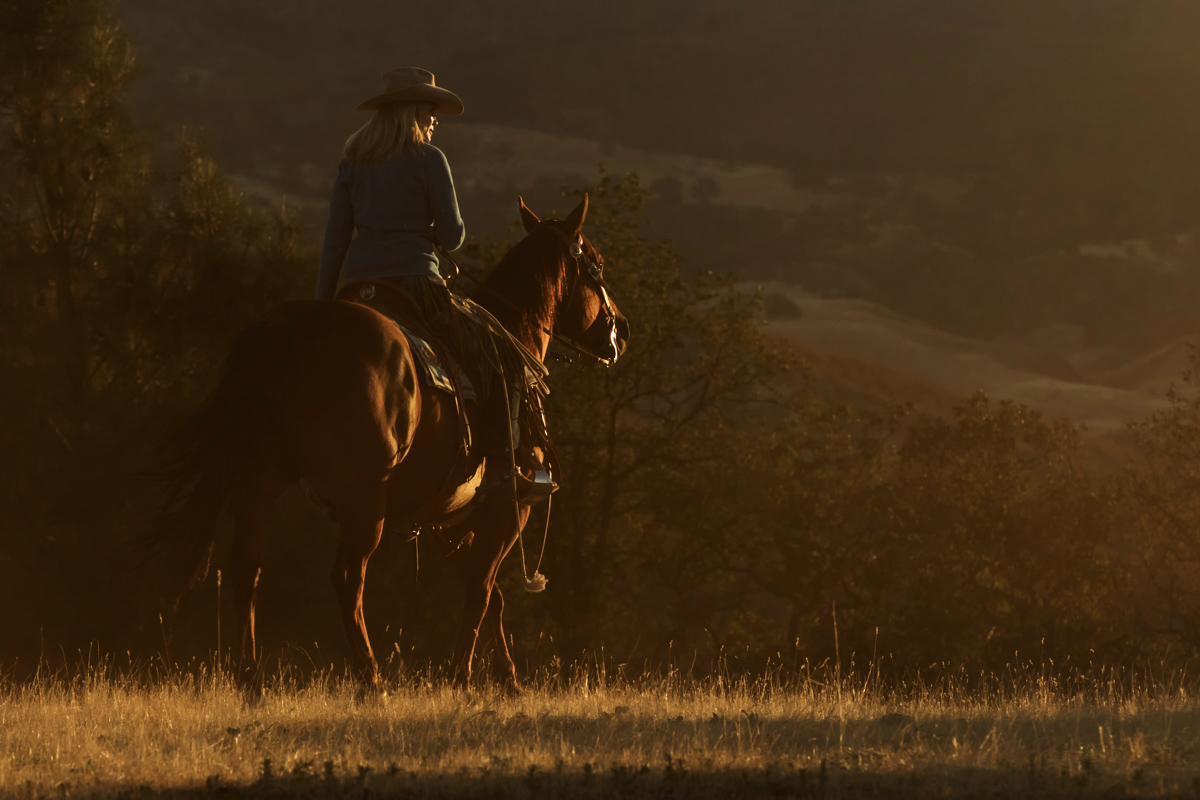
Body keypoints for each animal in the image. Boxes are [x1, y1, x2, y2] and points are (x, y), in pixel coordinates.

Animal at [150, 195, 628, 695]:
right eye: (597, 264)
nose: (623, 329)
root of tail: (291, 330)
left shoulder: (443, 522)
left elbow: (489, 595)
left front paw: (506, 677)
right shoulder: (507, 512)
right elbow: (482, 591)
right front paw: (463, 675)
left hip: (258, 481)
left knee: (247, 568)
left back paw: (252, 679)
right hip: (364, 499)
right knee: (347, 578)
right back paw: (370, 676)